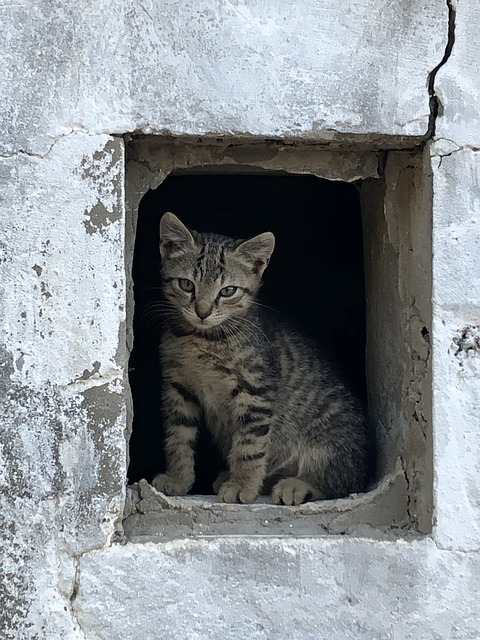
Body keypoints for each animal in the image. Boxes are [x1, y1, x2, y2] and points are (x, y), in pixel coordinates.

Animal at [152, 212, 370, 502]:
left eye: (228, 291)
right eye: (187, 285)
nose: (203, 311)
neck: (203, 338)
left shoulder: (255, 391)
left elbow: (250, 445)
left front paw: (243, 486)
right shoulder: (178, 387)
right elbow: (178, 437)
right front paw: (178, 479)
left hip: (330, 442)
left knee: (341, 482)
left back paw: (296, 486)